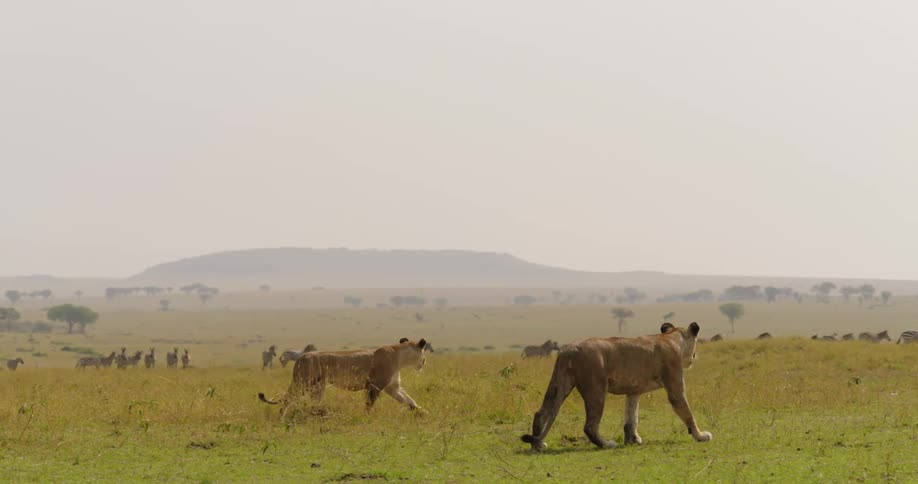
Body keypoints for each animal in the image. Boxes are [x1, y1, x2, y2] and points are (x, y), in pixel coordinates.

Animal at [258, 338, 430, 416]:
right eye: (424, 354)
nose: (424, 362)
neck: (400, 357)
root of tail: (301, 357)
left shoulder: (392, 387)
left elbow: (409, 401)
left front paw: (423, 412)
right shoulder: (374, 386)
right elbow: (369, 404)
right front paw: (366, 417)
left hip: (317, 386)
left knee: (313, 402)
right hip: (303, 382)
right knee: (287, 399)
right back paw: (282, 417)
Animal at [521, 322, 712, 451]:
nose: (694, 357)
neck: (672, 337)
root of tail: (569, 349)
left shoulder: (634, 391)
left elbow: (631, 418)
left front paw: (633, 439)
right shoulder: (674, 385)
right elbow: (687, 413)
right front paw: (701, 435)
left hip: (557, 384)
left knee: (540, 413)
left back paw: (538, 445)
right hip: (596, 388)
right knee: (590, 426)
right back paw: (607, 444)